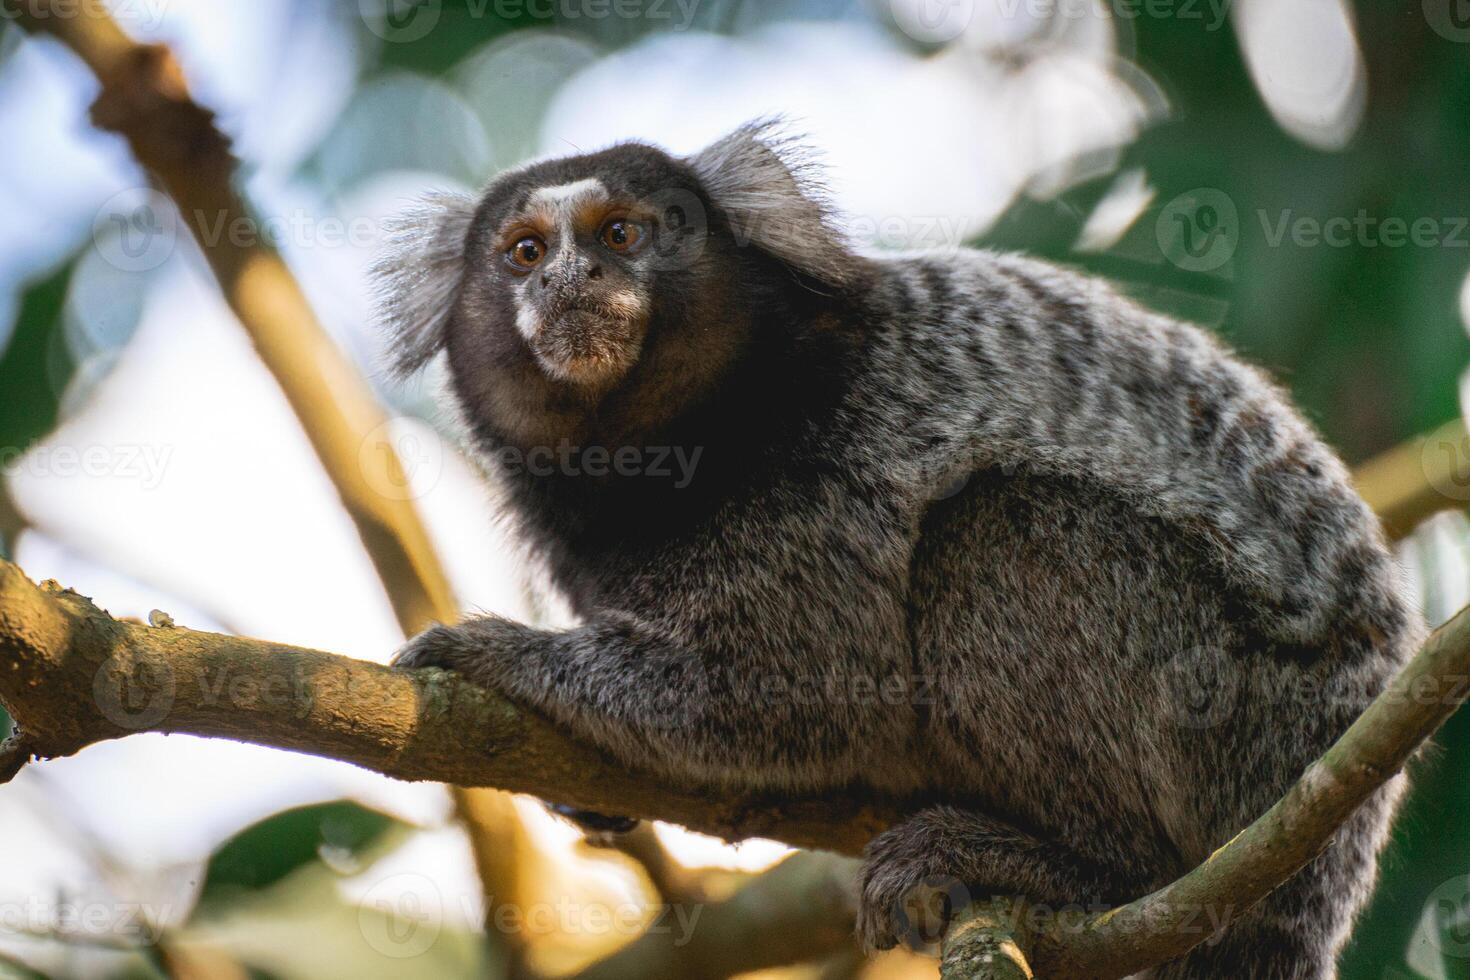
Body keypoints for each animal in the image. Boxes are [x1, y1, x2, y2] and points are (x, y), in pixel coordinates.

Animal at [379, 119, 1422, 975]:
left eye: (620, 235)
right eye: (524, 252)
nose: (570, 280)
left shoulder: (826, 474)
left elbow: (788, 691)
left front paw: (498, 654)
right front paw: (593, 796)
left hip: (1244, 723)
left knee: (996, 526)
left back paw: (1082, 863)